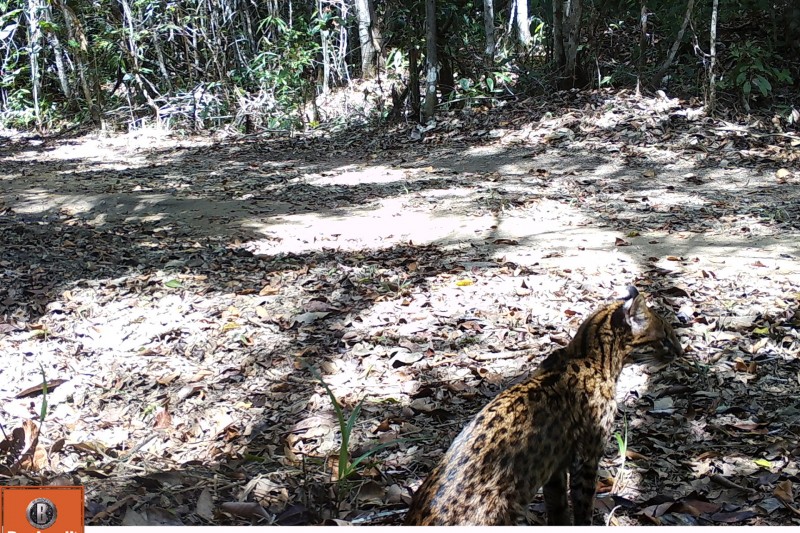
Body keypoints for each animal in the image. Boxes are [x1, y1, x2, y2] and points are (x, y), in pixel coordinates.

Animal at [406, 286, 680, 524]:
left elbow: (558, 507)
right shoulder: (587, 456)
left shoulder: (554, 467)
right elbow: (583, 505)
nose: (680, 351)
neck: (590, 354)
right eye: (666, 337)